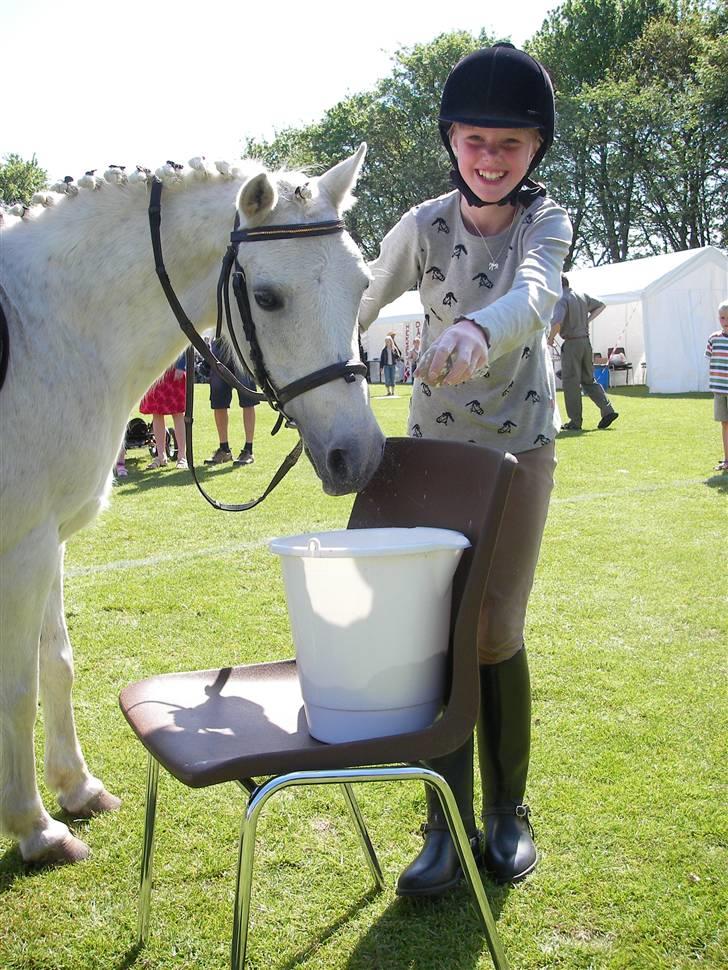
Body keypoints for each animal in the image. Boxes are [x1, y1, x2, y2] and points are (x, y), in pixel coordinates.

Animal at [0, 145, 385, 865]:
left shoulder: (48, 542)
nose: (362, 453)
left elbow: (56, 665)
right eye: (267, 297)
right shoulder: (22, 549)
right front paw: (35, 828)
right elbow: (17, 687)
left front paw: (76, 788)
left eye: (362, 286)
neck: (46, 333)